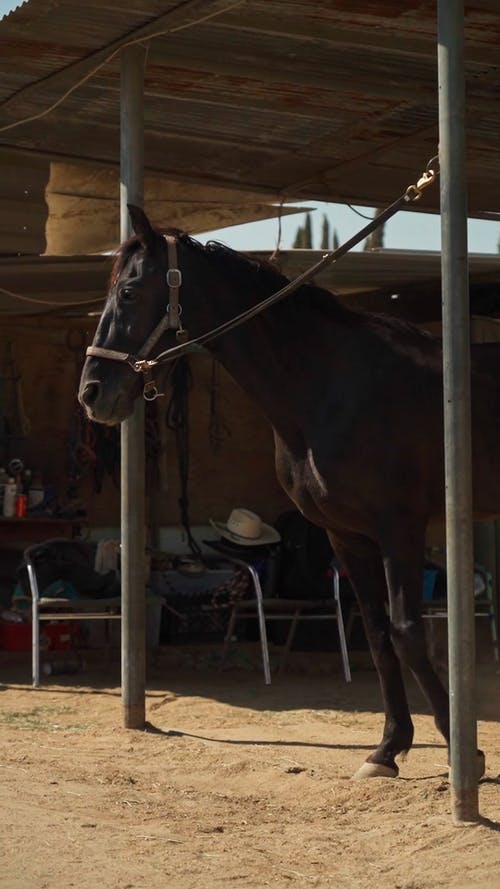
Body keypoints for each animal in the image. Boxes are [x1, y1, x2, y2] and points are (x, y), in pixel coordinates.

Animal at [78, 206, 496, 776]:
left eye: (128, 291)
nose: (92, 393)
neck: (331, 387)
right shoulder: (348, 536)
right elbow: (377, 633)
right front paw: (387, 749)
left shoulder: (400, 528)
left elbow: (408, 632)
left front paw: (465, 755)